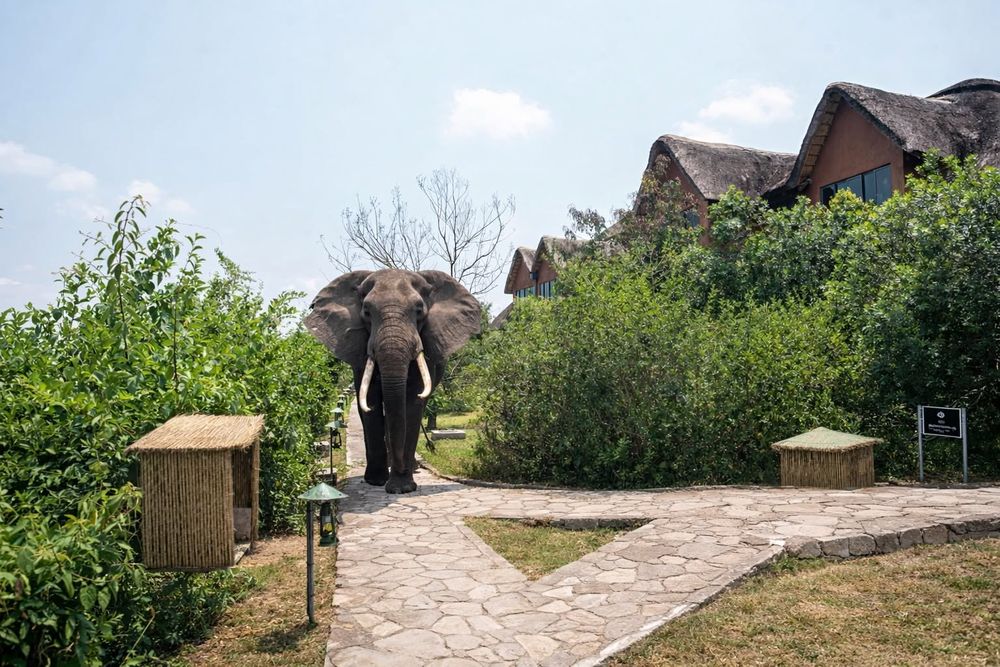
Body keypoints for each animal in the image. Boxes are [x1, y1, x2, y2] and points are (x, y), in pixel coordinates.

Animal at [304, 269, 481, 494]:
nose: (398, 469)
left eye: (419, 311)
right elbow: (370, 401)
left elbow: (412, 402)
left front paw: (401, 488)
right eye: (366, 312)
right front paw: (377, 481)